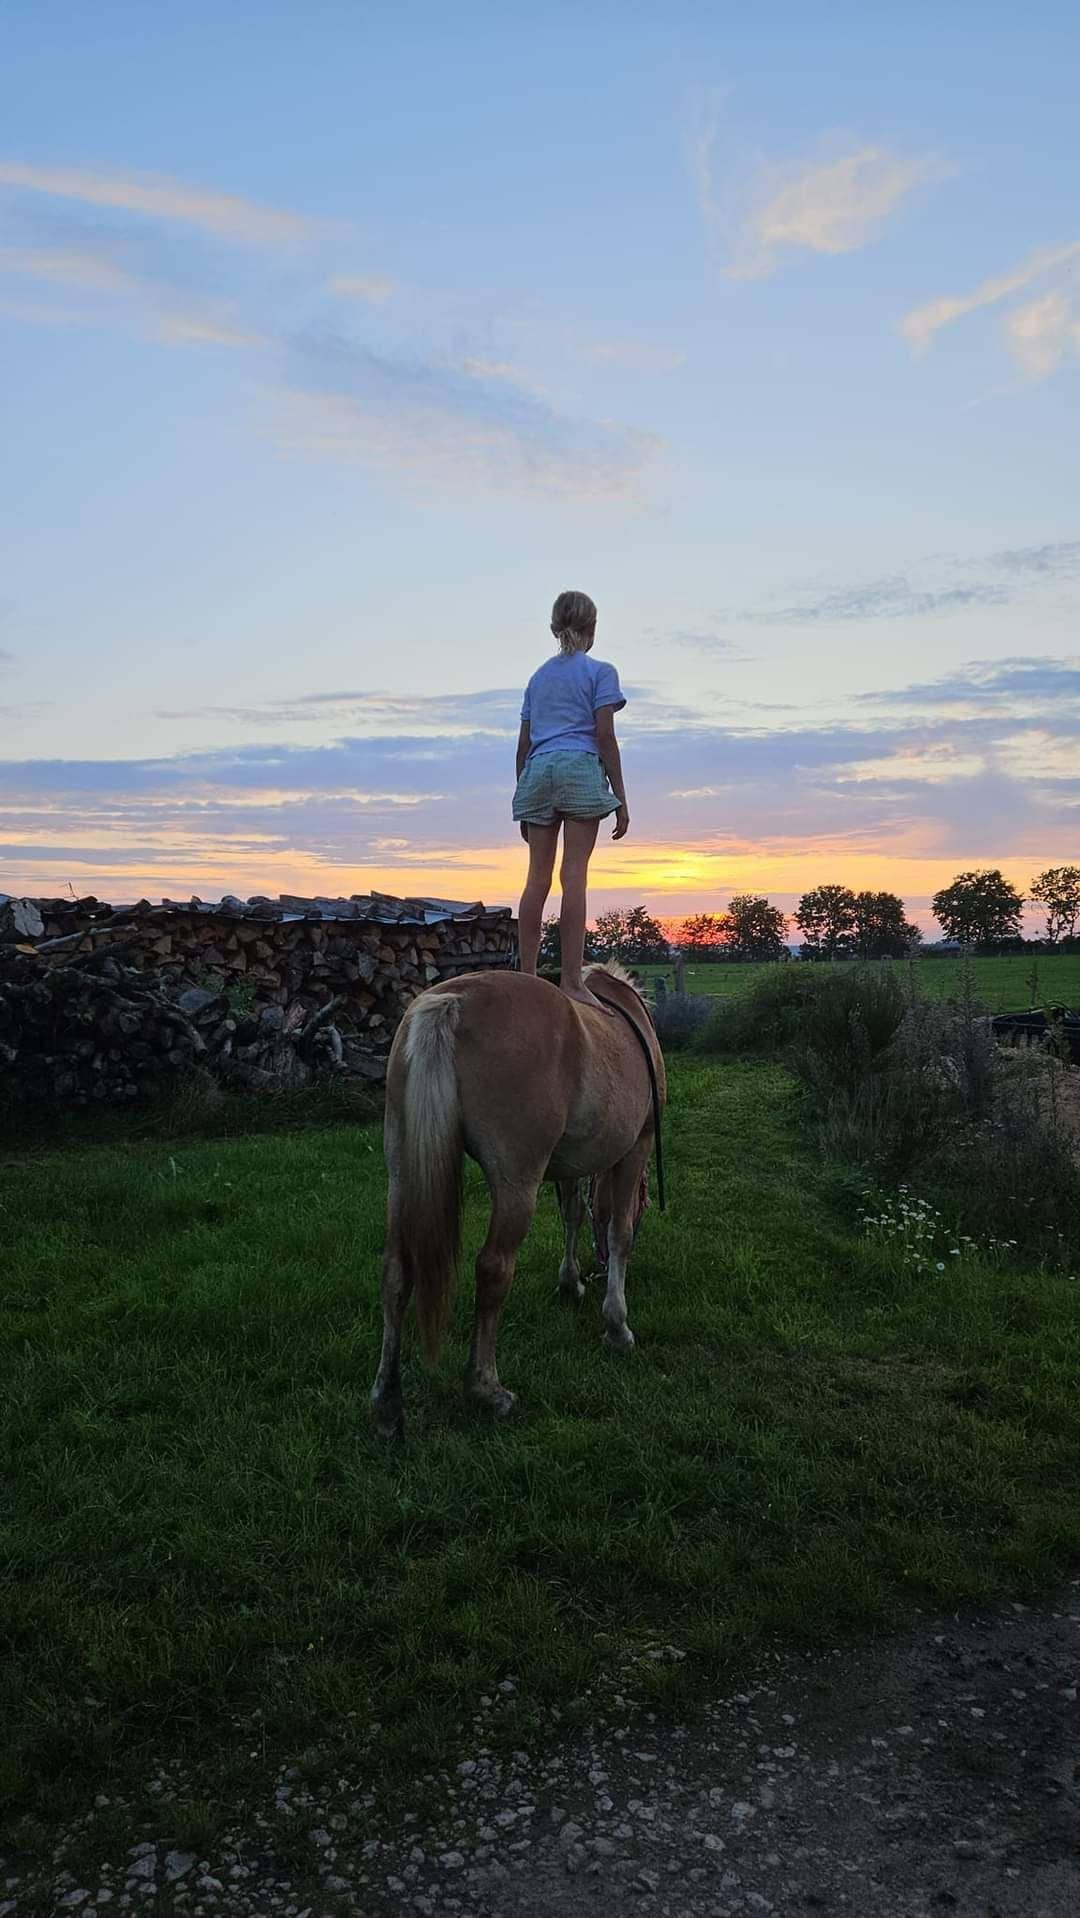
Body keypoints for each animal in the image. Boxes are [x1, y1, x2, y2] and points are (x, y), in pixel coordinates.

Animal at [370, 959, 667, 1442]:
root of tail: (450, 1003)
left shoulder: (571, 1163)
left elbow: (572, 1213)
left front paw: (570, 1282)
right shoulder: (636, 1147)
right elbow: (617, 1230)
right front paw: (617, 1326)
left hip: (401, 1168)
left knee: (397, 1272)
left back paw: (387, 1406)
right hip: (516, 1181)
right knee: (493, 1268)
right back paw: (485, 1389)